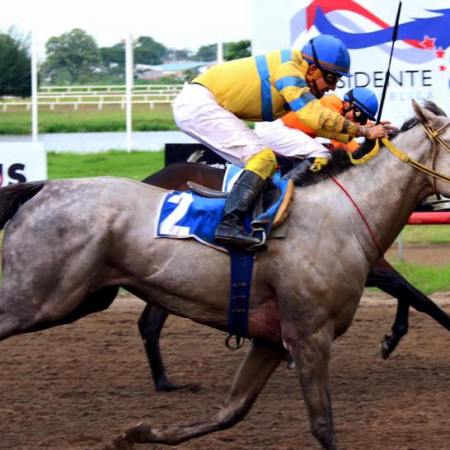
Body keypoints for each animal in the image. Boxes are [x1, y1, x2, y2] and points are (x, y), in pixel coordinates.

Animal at [138, 161, 450, 391]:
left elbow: (408, 293)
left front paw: (391, 338)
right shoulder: (366, 267)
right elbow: (417, 296)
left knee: (149, 324)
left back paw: (164, 382)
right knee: (149, 324)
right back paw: (165, 383)